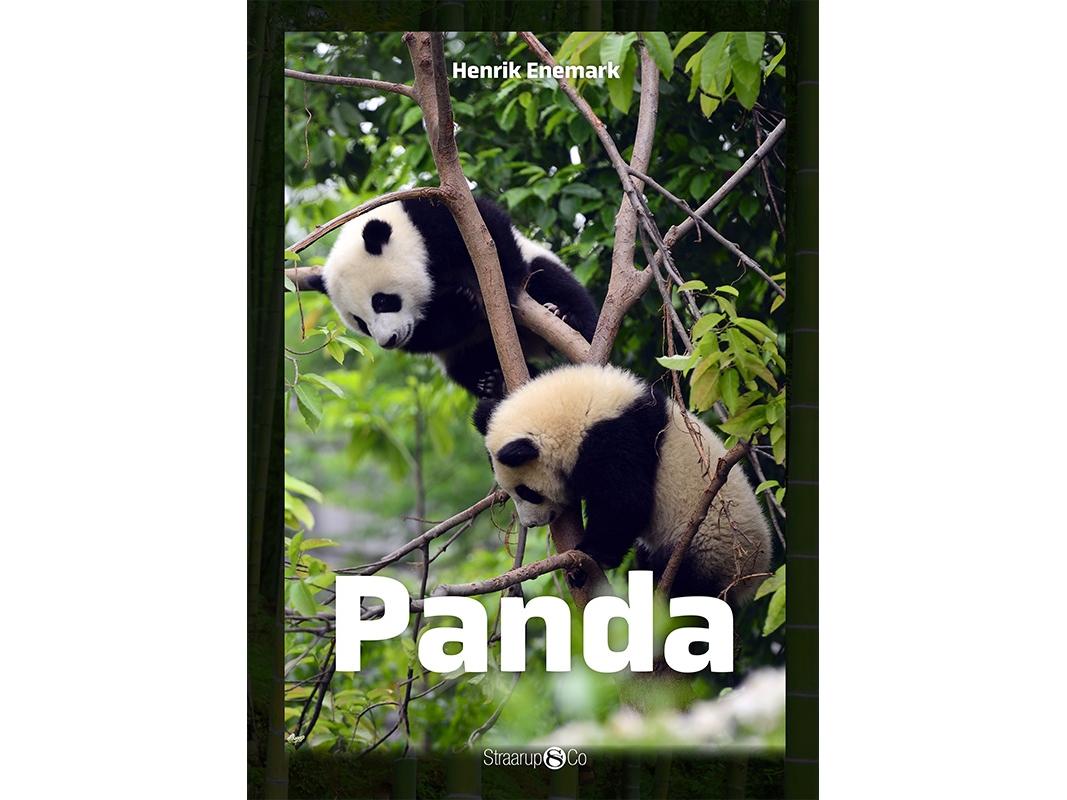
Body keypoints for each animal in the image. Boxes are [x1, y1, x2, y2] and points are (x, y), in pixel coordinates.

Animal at [304, 196, 600, 399]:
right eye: (361, 323)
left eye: (381, 301)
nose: (388, 340)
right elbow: (425, 337)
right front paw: (460, 306)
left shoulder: (436, 216)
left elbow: (490, 234)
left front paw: (502, 292)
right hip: (469, 350)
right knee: (471, 364)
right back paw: (497, 384)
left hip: (539, 270)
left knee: (551, 281)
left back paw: (566, 316)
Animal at [472, 363, 773, 608]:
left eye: (527, 492)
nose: (531, 524)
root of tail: (748, 582)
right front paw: (493, 387)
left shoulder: (616, 439)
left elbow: (625, 502)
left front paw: (593, 555)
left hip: (707, 545)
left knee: (689, 593)